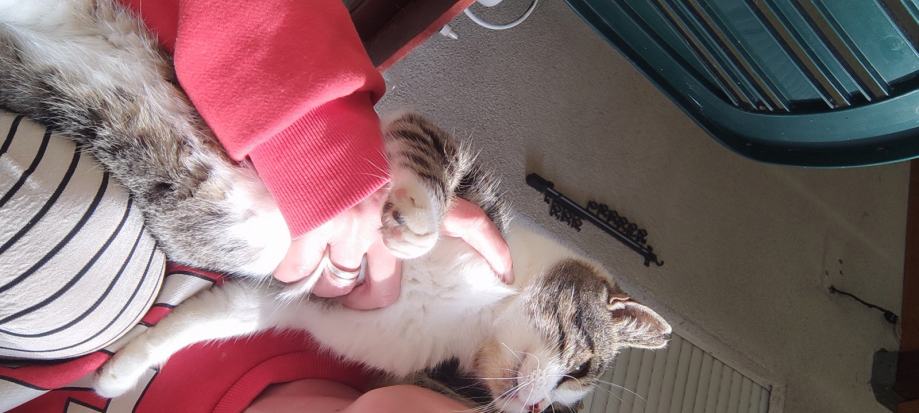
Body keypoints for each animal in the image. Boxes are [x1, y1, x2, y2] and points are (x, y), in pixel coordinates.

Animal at [0, 1, 672, 412]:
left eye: (565, 399)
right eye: (582, 367)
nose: (532, 405)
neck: (479, 317)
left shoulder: (293, 303)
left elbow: (207, 322)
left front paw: (121, 370)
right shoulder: (420, 137)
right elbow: (424, 167)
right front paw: (412, 226)